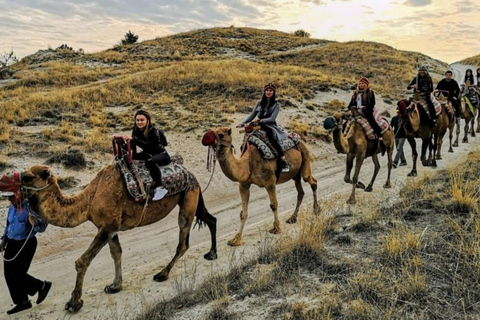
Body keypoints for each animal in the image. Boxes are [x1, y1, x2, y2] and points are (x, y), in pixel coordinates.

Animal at [20, 165, 218, 312]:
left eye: (27, 177)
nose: (16, 191)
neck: (89, 199)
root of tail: (190, 173)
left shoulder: (107, 226)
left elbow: (83, 261)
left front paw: (74, 303)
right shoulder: (110, 227)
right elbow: (116, 253)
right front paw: (115, 286)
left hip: (189, 196)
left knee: (183, 241)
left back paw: (162, 274)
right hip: (193, 196)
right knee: (210, 219)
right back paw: (212, 254)